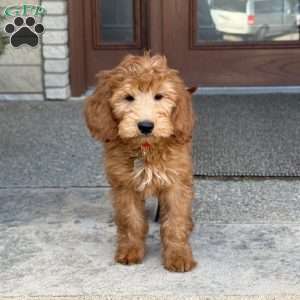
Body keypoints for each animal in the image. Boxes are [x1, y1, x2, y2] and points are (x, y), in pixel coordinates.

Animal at [84, 53, 197, 272]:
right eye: (128, 97)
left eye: (159, 96)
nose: (145, 126)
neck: (146, 149)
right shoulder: (125, 186)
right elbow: (131, 220)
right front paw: (130, 250)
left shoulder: (176, 182)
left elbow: (175, 221)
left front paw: (178, 255)